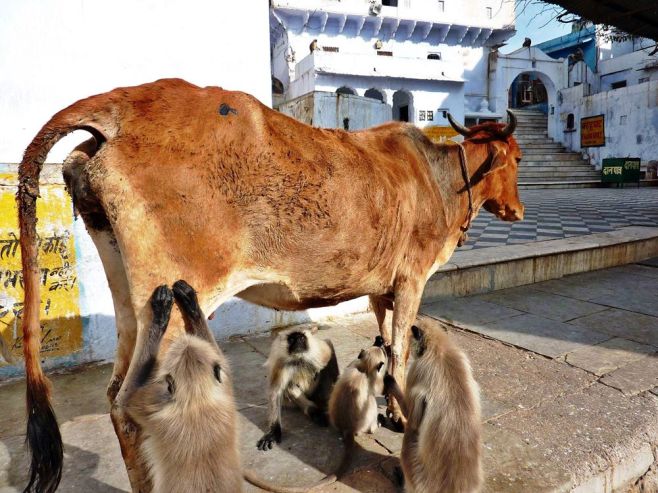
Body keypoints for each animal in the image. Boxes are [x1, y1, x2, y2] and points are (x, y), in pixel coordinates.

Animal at [17, 78, 523, 492]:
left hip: (128, 293)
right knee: (130, 403)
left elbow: (384, 337)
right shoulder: (412, 278)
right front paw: (398, 415)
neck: (440, 179)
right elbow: (398, 347)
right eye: (517, 158)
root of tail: (119, 104)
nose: (517, 211)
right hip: (173, 297)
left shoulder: (383, 286)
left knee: (115, 394)